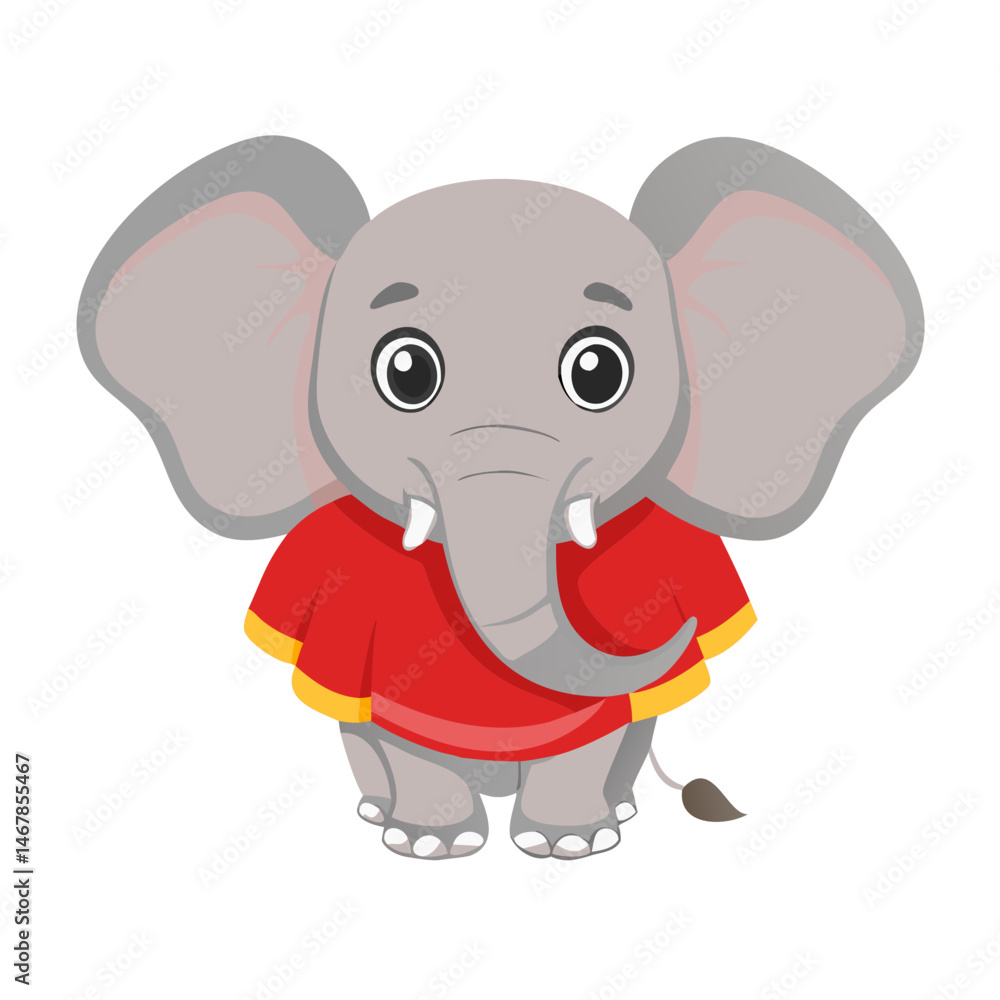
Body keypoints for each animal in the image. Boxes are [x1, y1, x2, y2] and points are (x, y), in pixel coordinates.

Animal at [78, 135, 922, 860]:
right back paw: (379, 812)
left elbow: (605, 722)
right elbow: (388, 720)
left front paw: (569, 843)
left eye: (598, 371)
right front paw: (431, 844)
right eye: (406, 371)